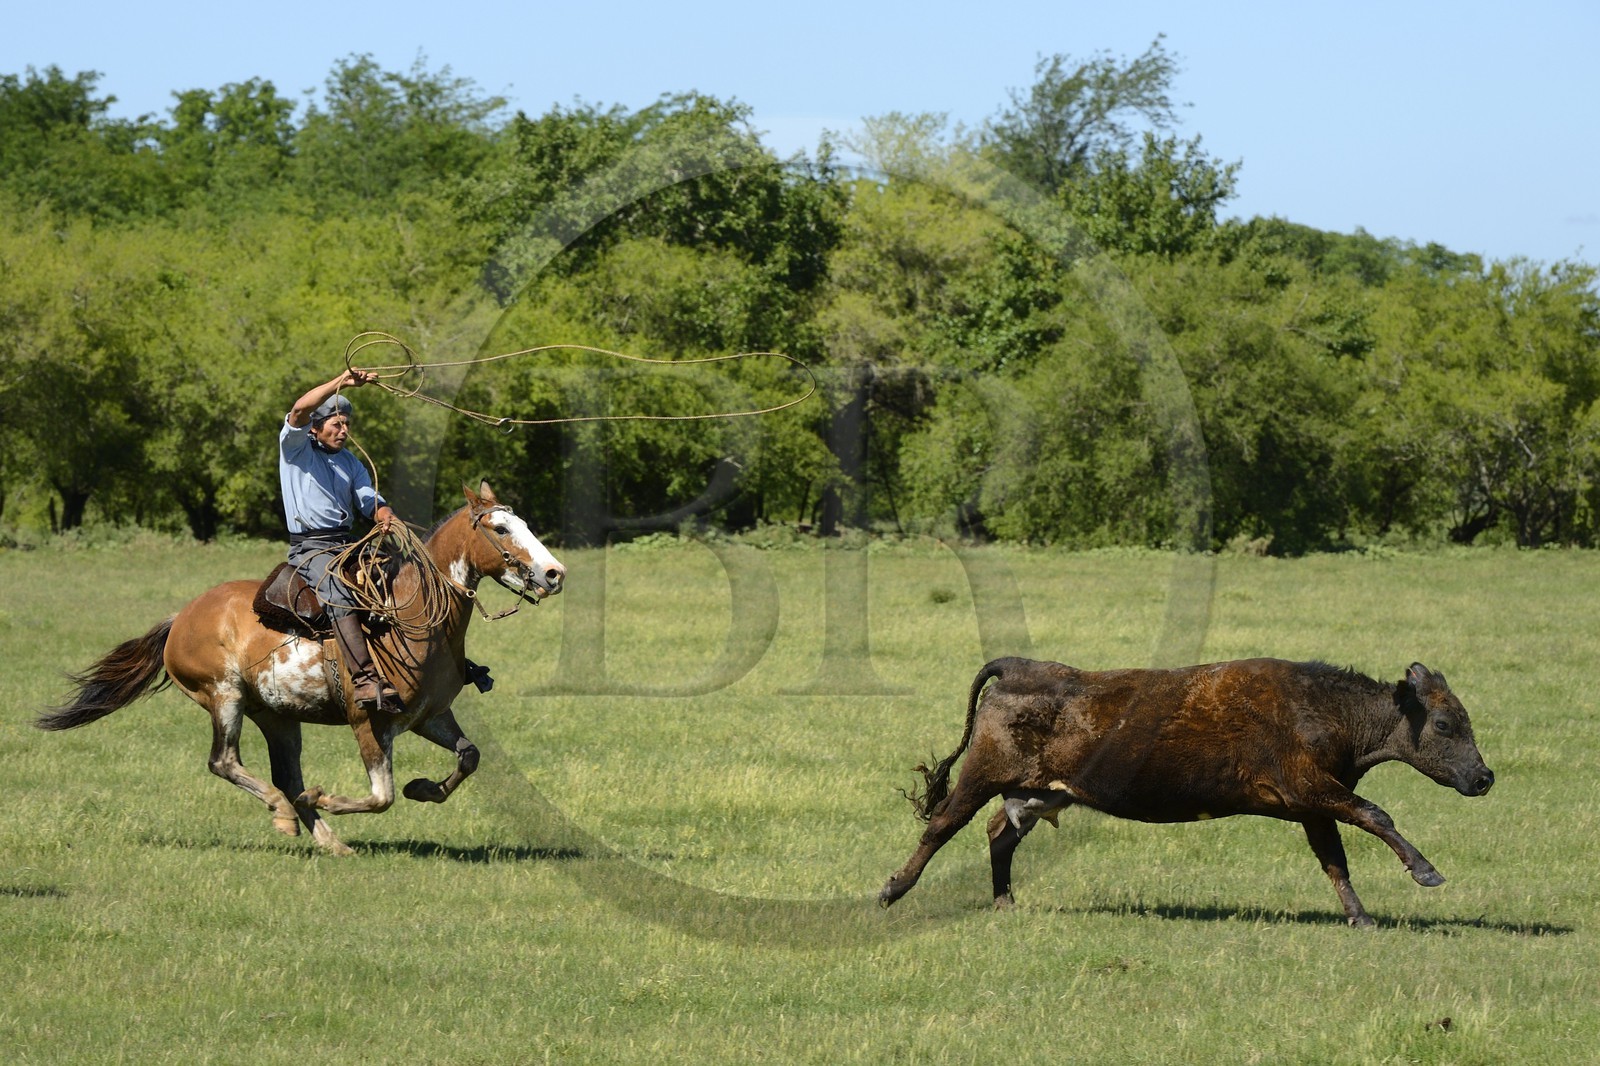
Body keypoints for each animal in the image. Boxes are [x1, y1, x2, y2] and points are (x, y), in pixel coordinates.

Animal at [879, 657, 1494, 927]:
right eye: (1444, 724)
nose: (1484, 778)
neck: (1321, 708)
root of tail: (1018, 666)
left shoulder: (1311, 806)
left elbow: (1335, 861)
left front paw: (1361, 917)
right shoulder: (1315, 788)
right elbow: (1376, 815)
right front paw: (1426, 872)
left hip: (1037, 793)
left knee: (999, 833)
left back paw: (1005, 902)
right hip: (980, 777)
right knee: (943, 825)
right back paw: (891, 890)